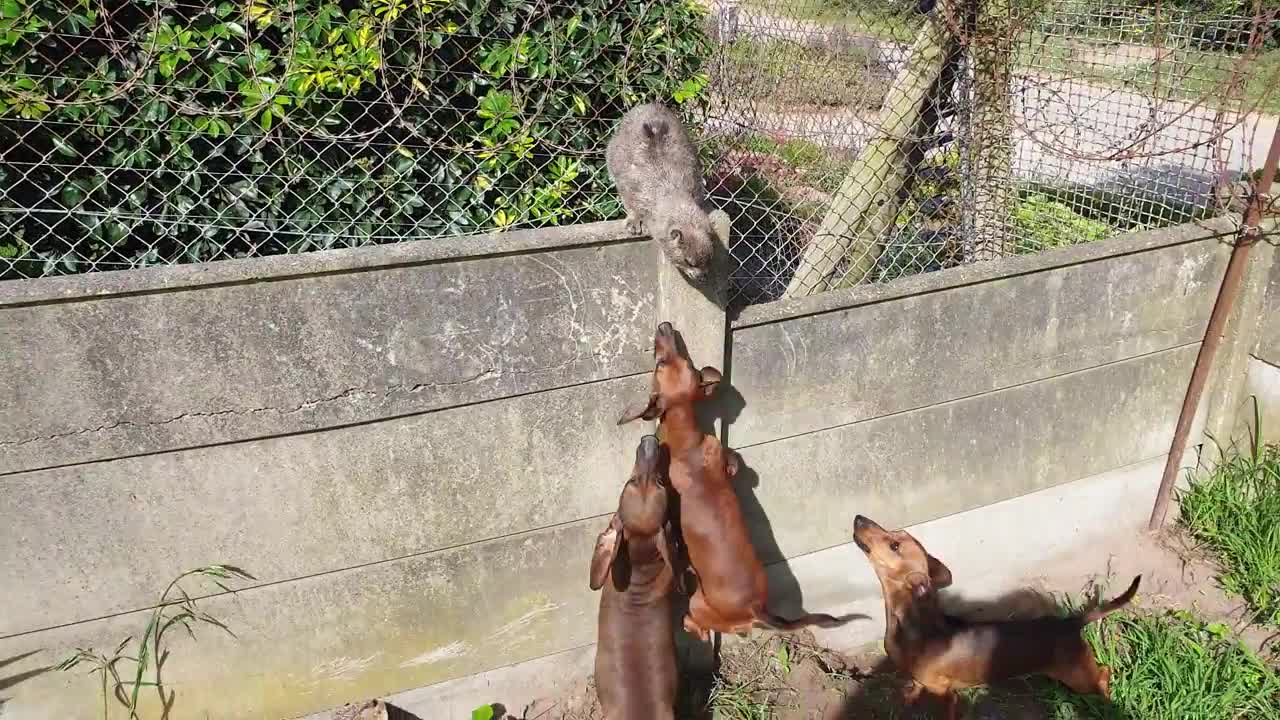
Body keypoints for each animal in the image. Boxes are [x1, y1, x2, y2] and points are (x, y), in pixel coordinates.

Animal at [849, 512, 1141, 712]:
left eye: (894, 546)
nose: (858, 518)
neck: (914, 627)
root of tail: (1070, 622)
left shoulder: (948, 694)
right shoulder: (918, 680)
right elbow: (913, 687)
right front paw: (907, 699)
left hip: (1078, 677)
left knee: (1103, 673)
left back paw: (1107, 700)